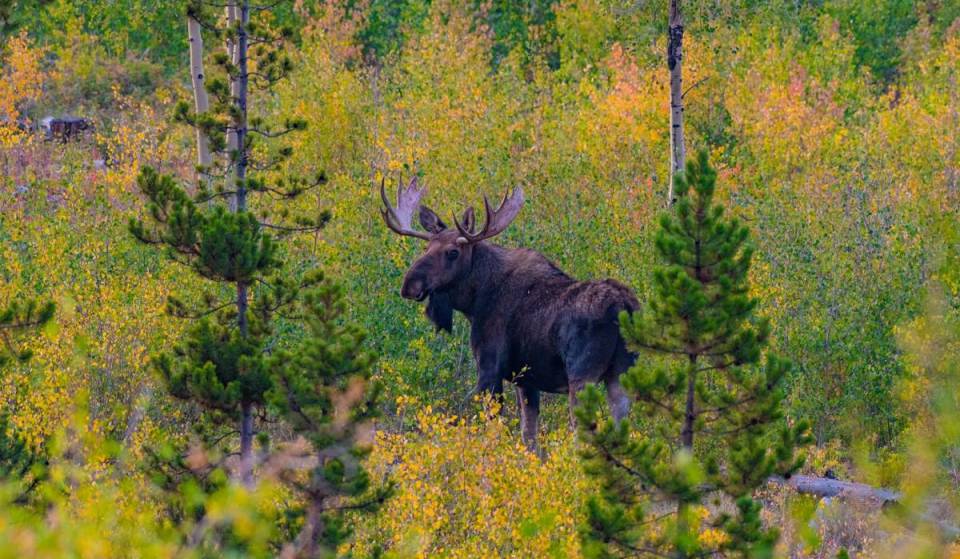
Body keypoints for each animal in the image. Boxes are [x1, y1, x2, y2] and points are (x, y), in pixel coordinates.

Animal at [381, 176, 638, 452]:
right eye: (427, 246)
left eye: (452, 252)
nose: (410, 284)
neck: (475, 302)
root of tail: (624, 306)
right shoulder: (526, 379)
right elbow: (529, 436)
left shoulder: (489, 368)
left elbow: (495, 428)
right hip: (620, 374)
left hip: (581, 375)